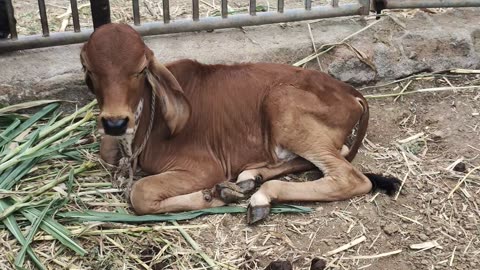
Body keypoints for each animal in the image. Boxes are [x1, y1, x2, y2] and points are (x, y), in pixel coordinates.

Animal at [80, 23, 400, 224]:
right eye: (89, 69)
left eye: (140, 69)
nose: (115, 122)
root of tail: (351, 92)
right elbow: (107, 153)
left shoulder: (206, 167)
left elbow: (141, 193)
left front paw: (212, 195)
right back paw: (249, 180)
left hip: (281, 102)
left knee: (350, 177)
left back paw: (258, 196)